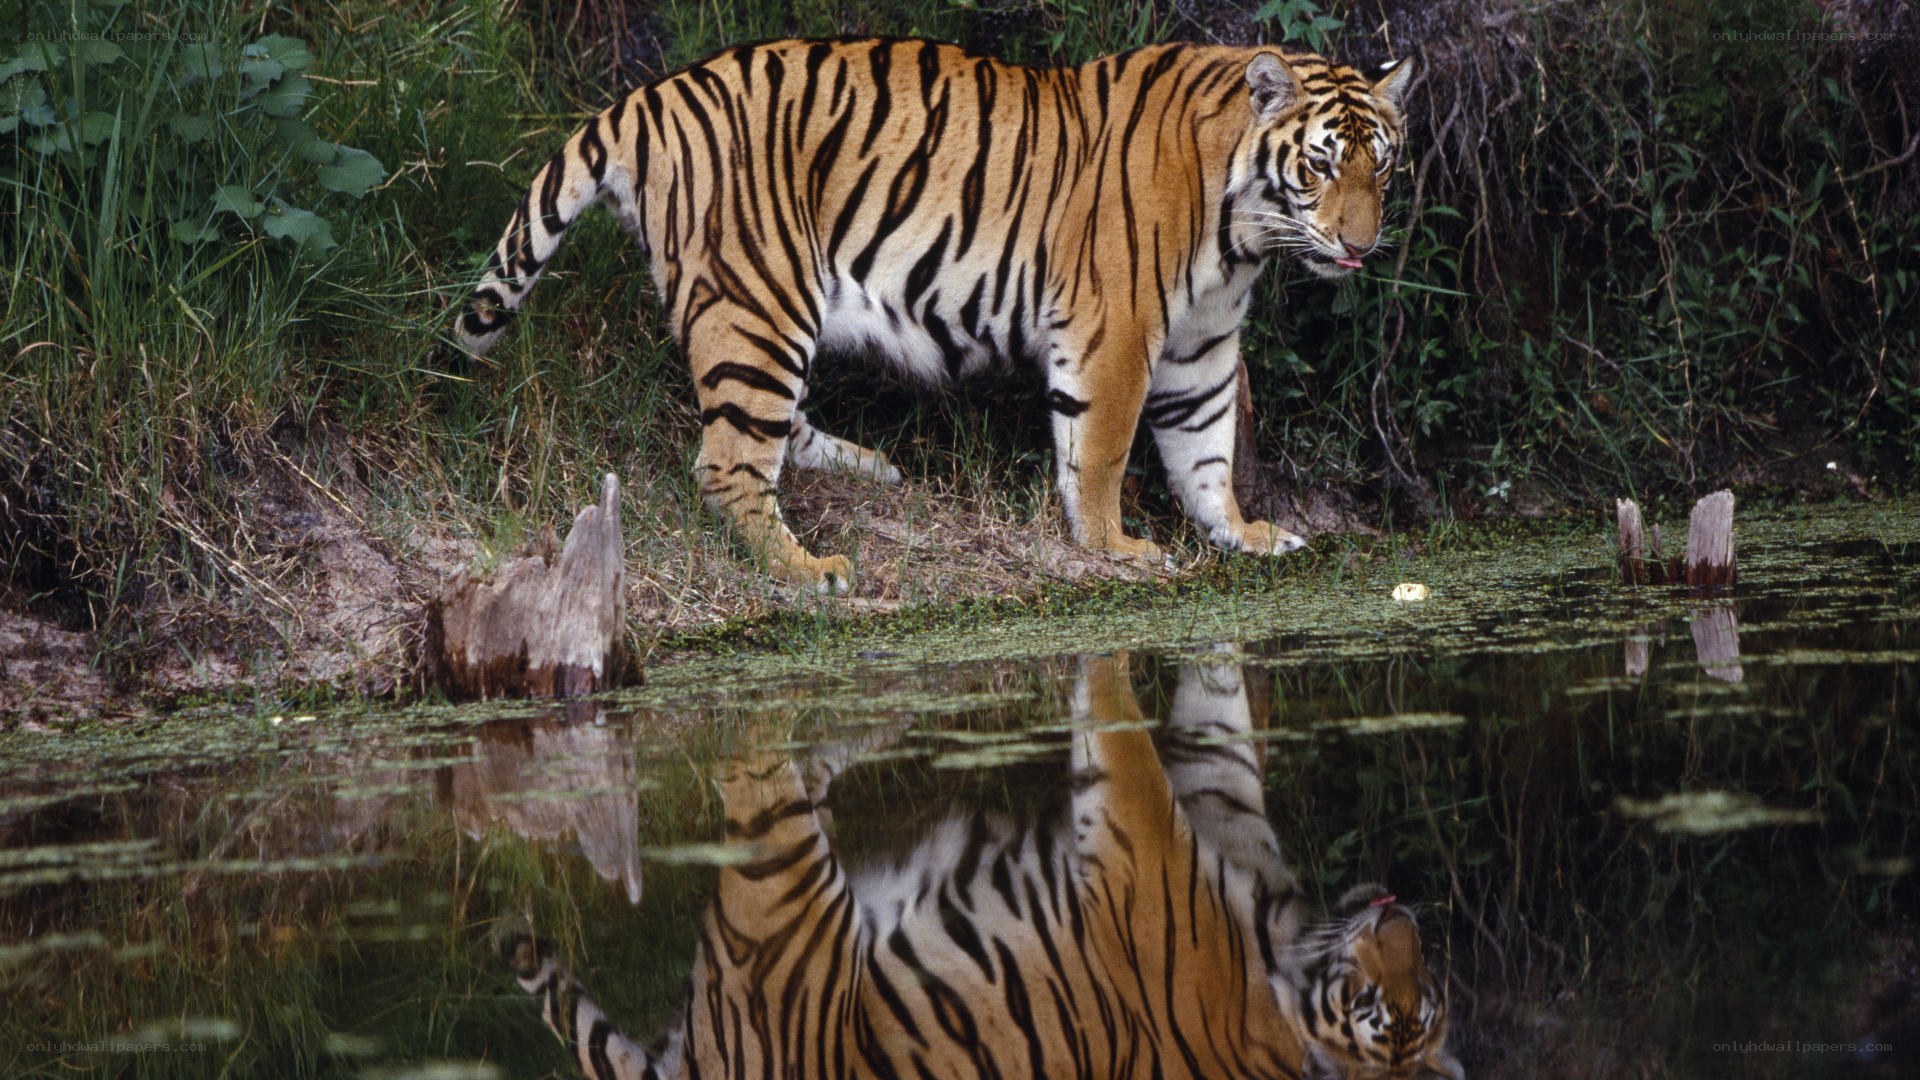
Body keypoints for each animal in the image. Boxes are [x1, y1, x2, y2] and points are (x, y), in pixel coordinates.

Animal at [454, 38, 1415, 592]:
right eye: (1320, 166)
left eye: (1382, 166)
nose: (1361, 246)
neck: (1242, 231)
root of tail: (648, 98)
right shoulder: (1116, 329)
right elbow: (1102, 449)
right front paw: (1116, 548)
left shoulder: (1203, 342)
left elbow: (1208, 447)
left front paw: (1244, 535)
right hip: (759, 298)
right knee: (727, 462)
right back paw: (811, 569)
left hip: (763, 314)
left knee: (769, 427)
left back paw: (866, 468)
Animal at [500, 652, 1462, 1079]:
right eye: (1375, 1006)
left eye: (1422, 997)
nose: (1399, 915)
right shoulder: (1150, 844)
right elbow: (1131, 736)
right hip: (793, 903)